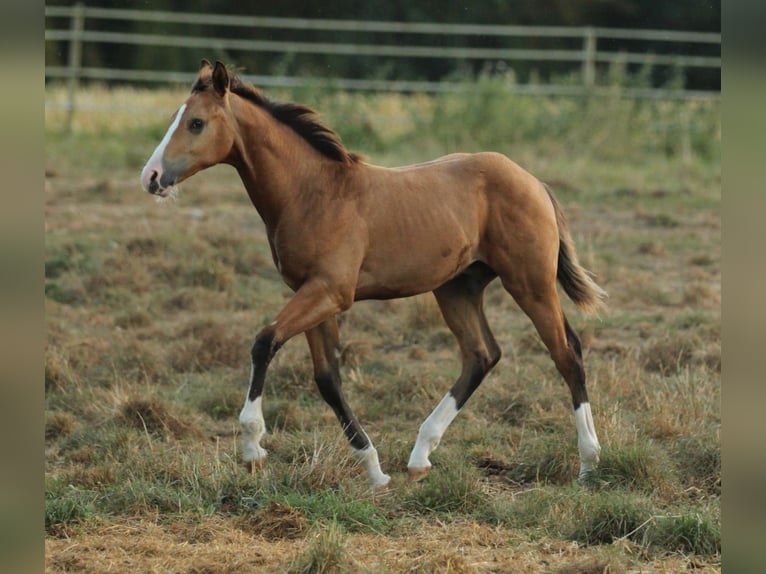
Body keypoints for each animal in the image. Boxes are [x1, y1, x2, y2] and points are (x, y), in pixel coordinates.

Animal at [140, 60, 608, 488]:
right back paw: (420, 455)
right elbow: (327, 377)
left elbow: (264, 341)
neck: (313, 193)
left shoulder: (330, 292)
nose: (151, 176)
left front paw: (253, 446)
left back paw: (588, 464)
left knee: (566, 352)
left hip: (530, 282)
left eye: (197, 123)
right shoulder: (313, 294)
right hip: (457, 287)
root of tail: (533, 181)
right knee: (482, 354)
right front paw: (374, 470)